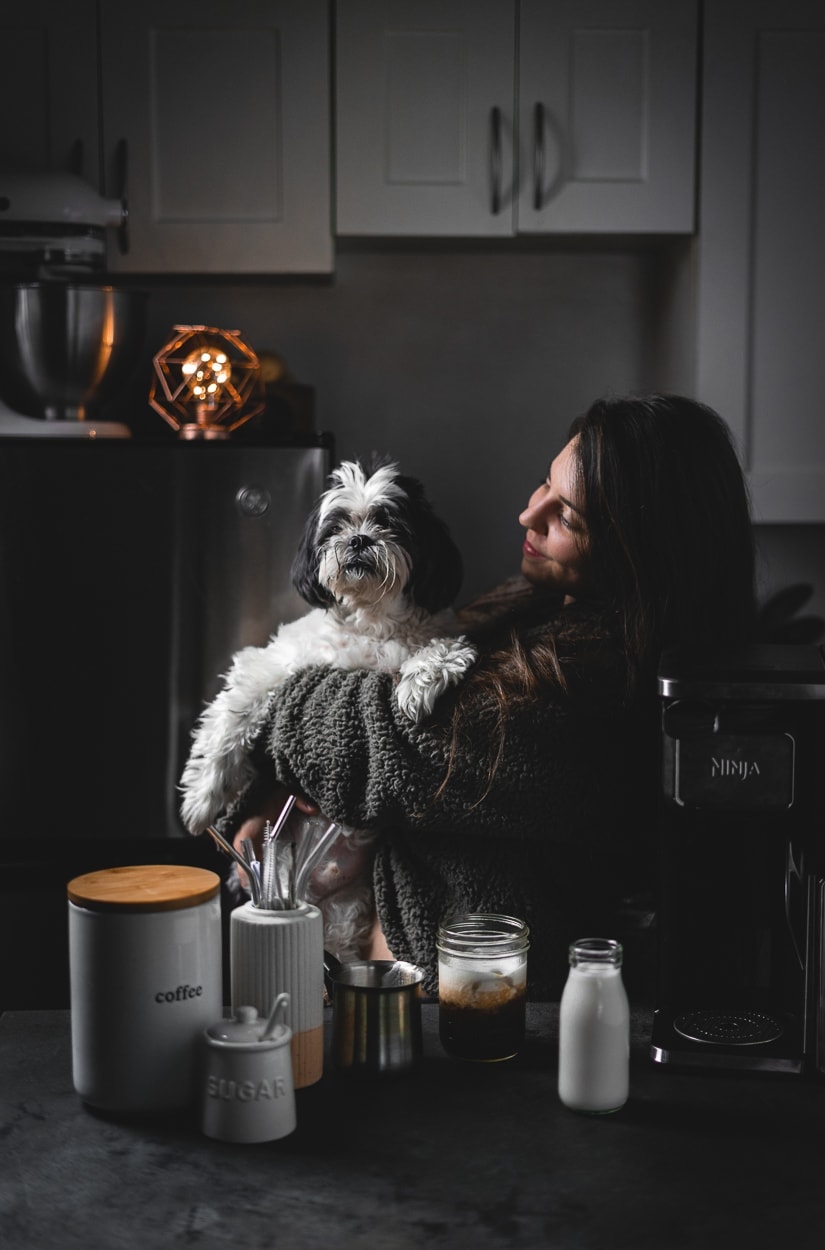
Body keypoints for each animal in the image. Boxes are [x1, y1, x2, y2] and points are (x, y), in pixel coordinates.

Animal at [180, 457, 477, 955]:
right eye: (336, 527)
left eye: (389, 522)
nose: (358, 540)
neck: (369, 619)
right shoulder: (274, 663)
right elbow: (232, 716)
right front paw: (203, 799)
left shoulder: (439, 636)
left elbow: (440, 651)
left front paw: (416, 686)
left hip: (344, 913)